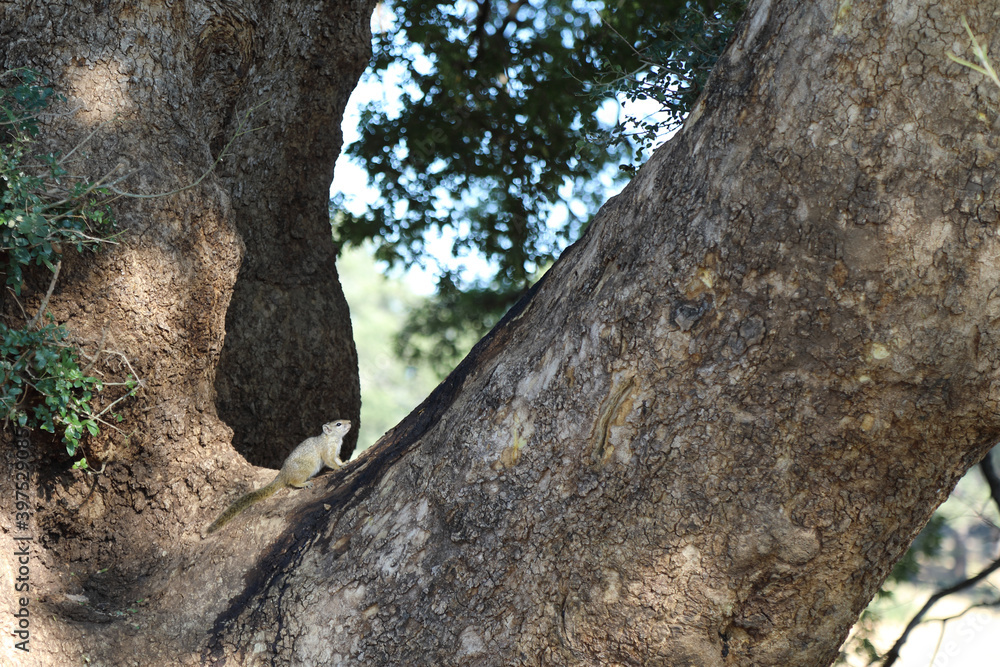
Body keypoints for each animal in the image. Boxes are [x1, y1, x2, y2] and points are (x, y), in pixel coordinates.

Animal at [205, 419, 352, 534]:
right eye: (338, 424)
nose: (350, 422)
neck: (332, 439)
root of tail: (283, 474)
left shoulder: (335, 453)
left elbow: (337, 460)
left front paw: (344, 463)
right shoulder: (327, 451)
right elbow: (330, 462)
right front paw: (339, 468)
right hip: (305, 469)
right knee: (293, 482)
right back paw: (304, 483)